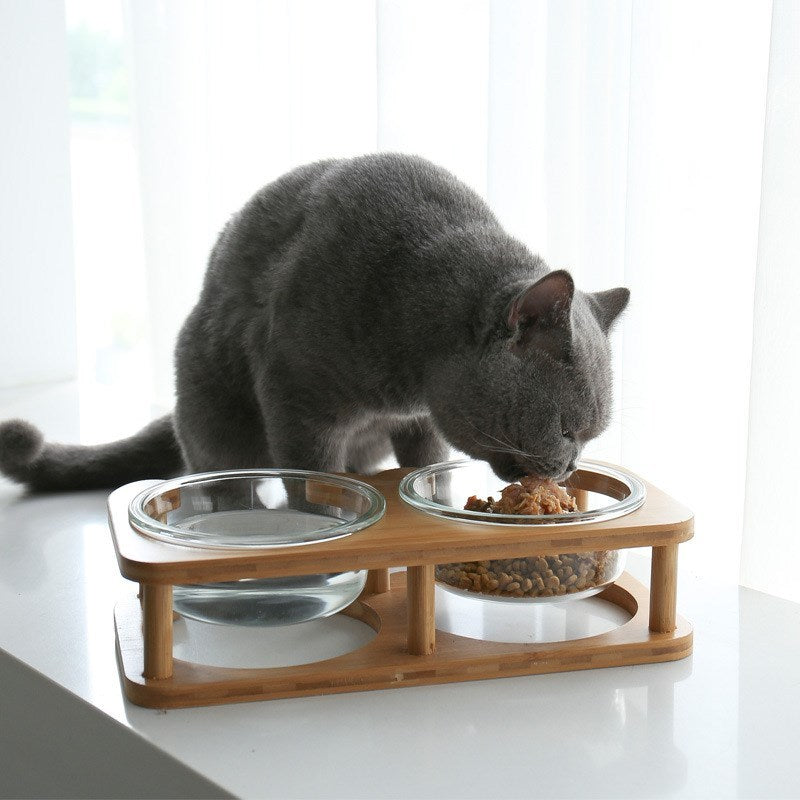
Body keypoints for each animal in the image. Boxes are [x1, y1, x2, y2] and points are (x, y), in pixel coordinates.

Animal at [0, 149, 624, 488]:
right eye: (567, 429)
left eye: (591, 436)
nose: (569, 468)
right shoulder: (295, 398)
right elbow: (313, 479)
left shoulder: (420, 421)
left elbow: (430, 464)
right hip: (212, 404)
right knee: (224, 475)